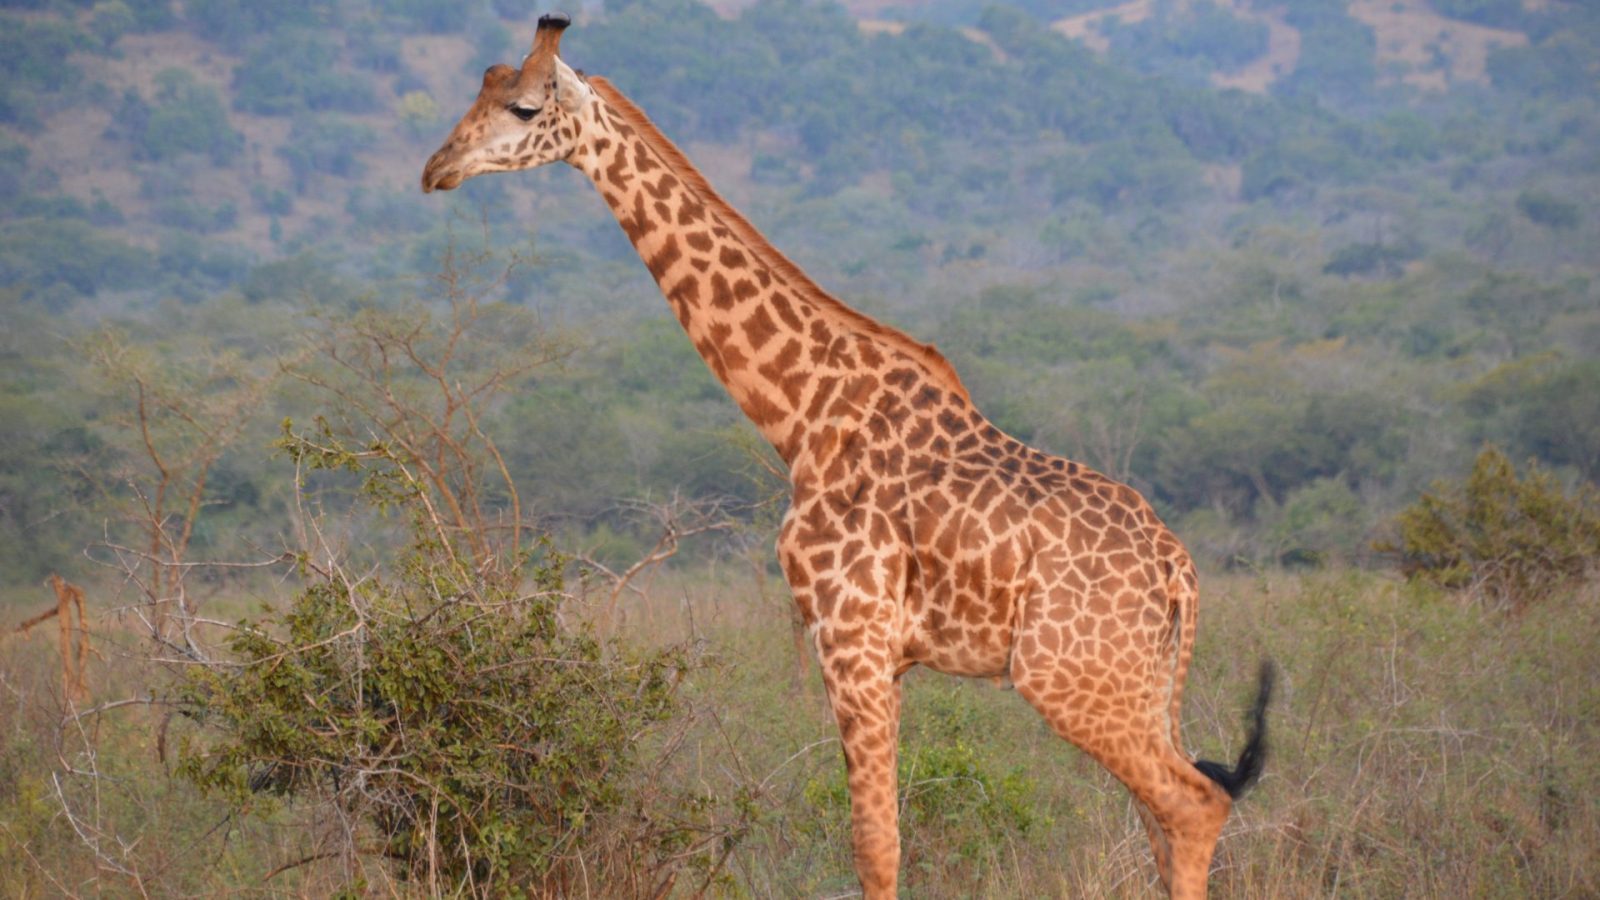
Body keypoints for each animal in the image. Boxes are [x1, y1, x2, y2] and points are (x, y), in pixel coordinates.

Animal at [421, 15, 1273, 899]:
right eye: (482, 87)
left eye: (523, 106)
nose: (436, 168)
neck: (801, 413)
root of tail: (1178, 569)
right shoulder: (883, 654)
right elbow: (883, 832)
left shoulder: (850, 632)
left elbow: (874, 843)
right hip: (1137, 685)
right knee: (1168, 817)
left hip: (1069, 677)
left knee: (1193, 803)